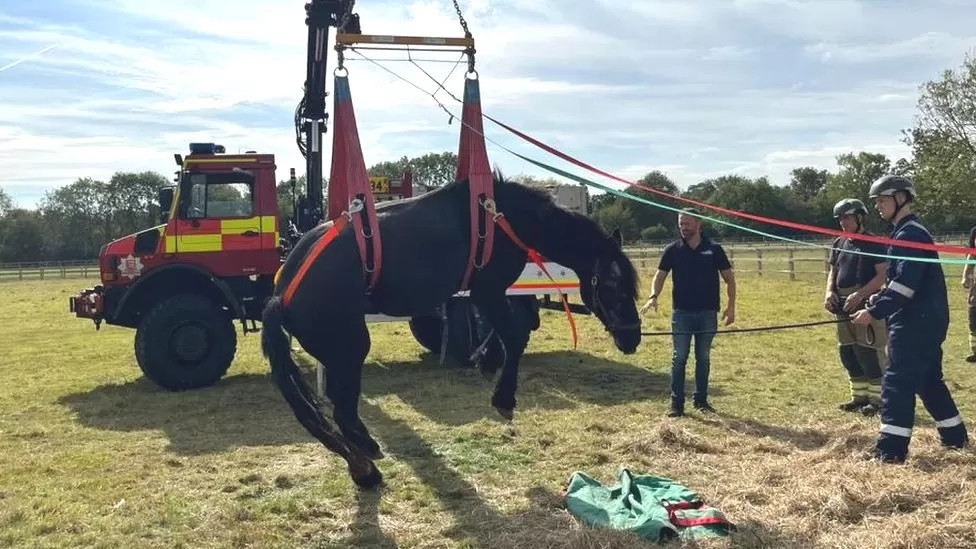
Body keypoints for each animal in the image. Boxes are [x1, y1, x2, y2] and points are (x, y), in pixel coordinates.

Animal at [262, 172, 640, 488]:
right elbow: (514, 337)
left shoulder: (485, 294)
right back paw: (367, 463)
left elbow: (503, 334)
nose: (633, 336)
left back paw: (363, 466)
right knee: (343, 411)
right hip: (350, 349)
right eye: (613, 286)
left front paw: (485, 360)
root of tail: (282, 295)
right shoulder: (489, 289)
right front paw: (503, 397)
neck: (504, 219)